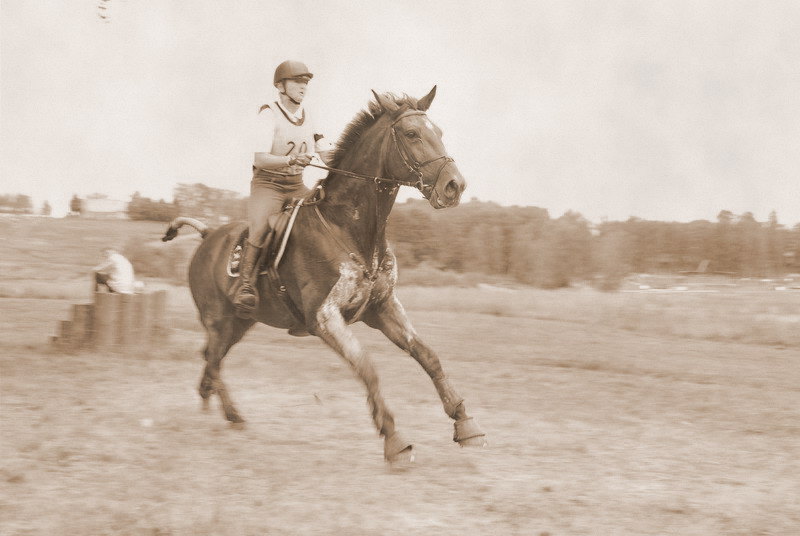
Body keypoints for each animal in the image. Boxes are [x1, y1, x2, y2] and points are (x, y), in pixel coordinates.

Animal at [162, 86, 484, 462]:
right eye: (411, 134)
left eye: (439, 132)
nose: (454, 186)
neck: (350, 229)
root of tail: (206, 235)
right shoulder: (324, 317)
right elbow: (367, 367)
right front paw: (393, 437)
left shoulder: (382, 308)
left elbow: (428, 356)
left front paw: (465, 423)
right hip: (218, 317)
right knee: (213, 358)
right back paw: (227, 412)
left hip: (241, 322)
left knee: (213, 357)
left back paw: (215, 405)